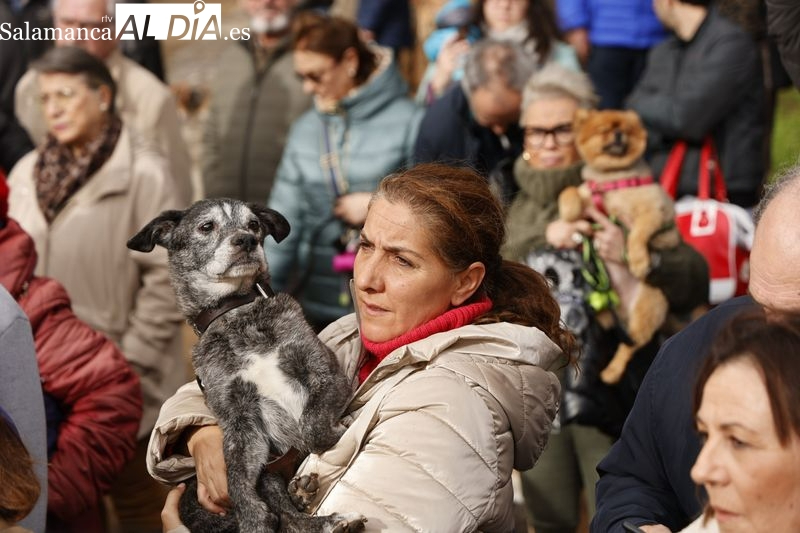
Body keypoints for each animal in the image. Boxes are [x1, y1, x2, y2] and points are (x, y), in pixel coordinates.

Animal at [128, 198, 366, 532]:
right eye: (206, 226)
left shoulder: (326, 373)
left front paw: (338, 429)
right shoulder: (240, 420)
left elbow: (312, 426)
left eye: (254, 225)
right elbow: (237, 477)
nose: (246, 240)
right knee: (284, 512)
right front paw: (253, 517)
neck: (238, 315)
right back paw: (319, 511)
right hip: (267, 475)